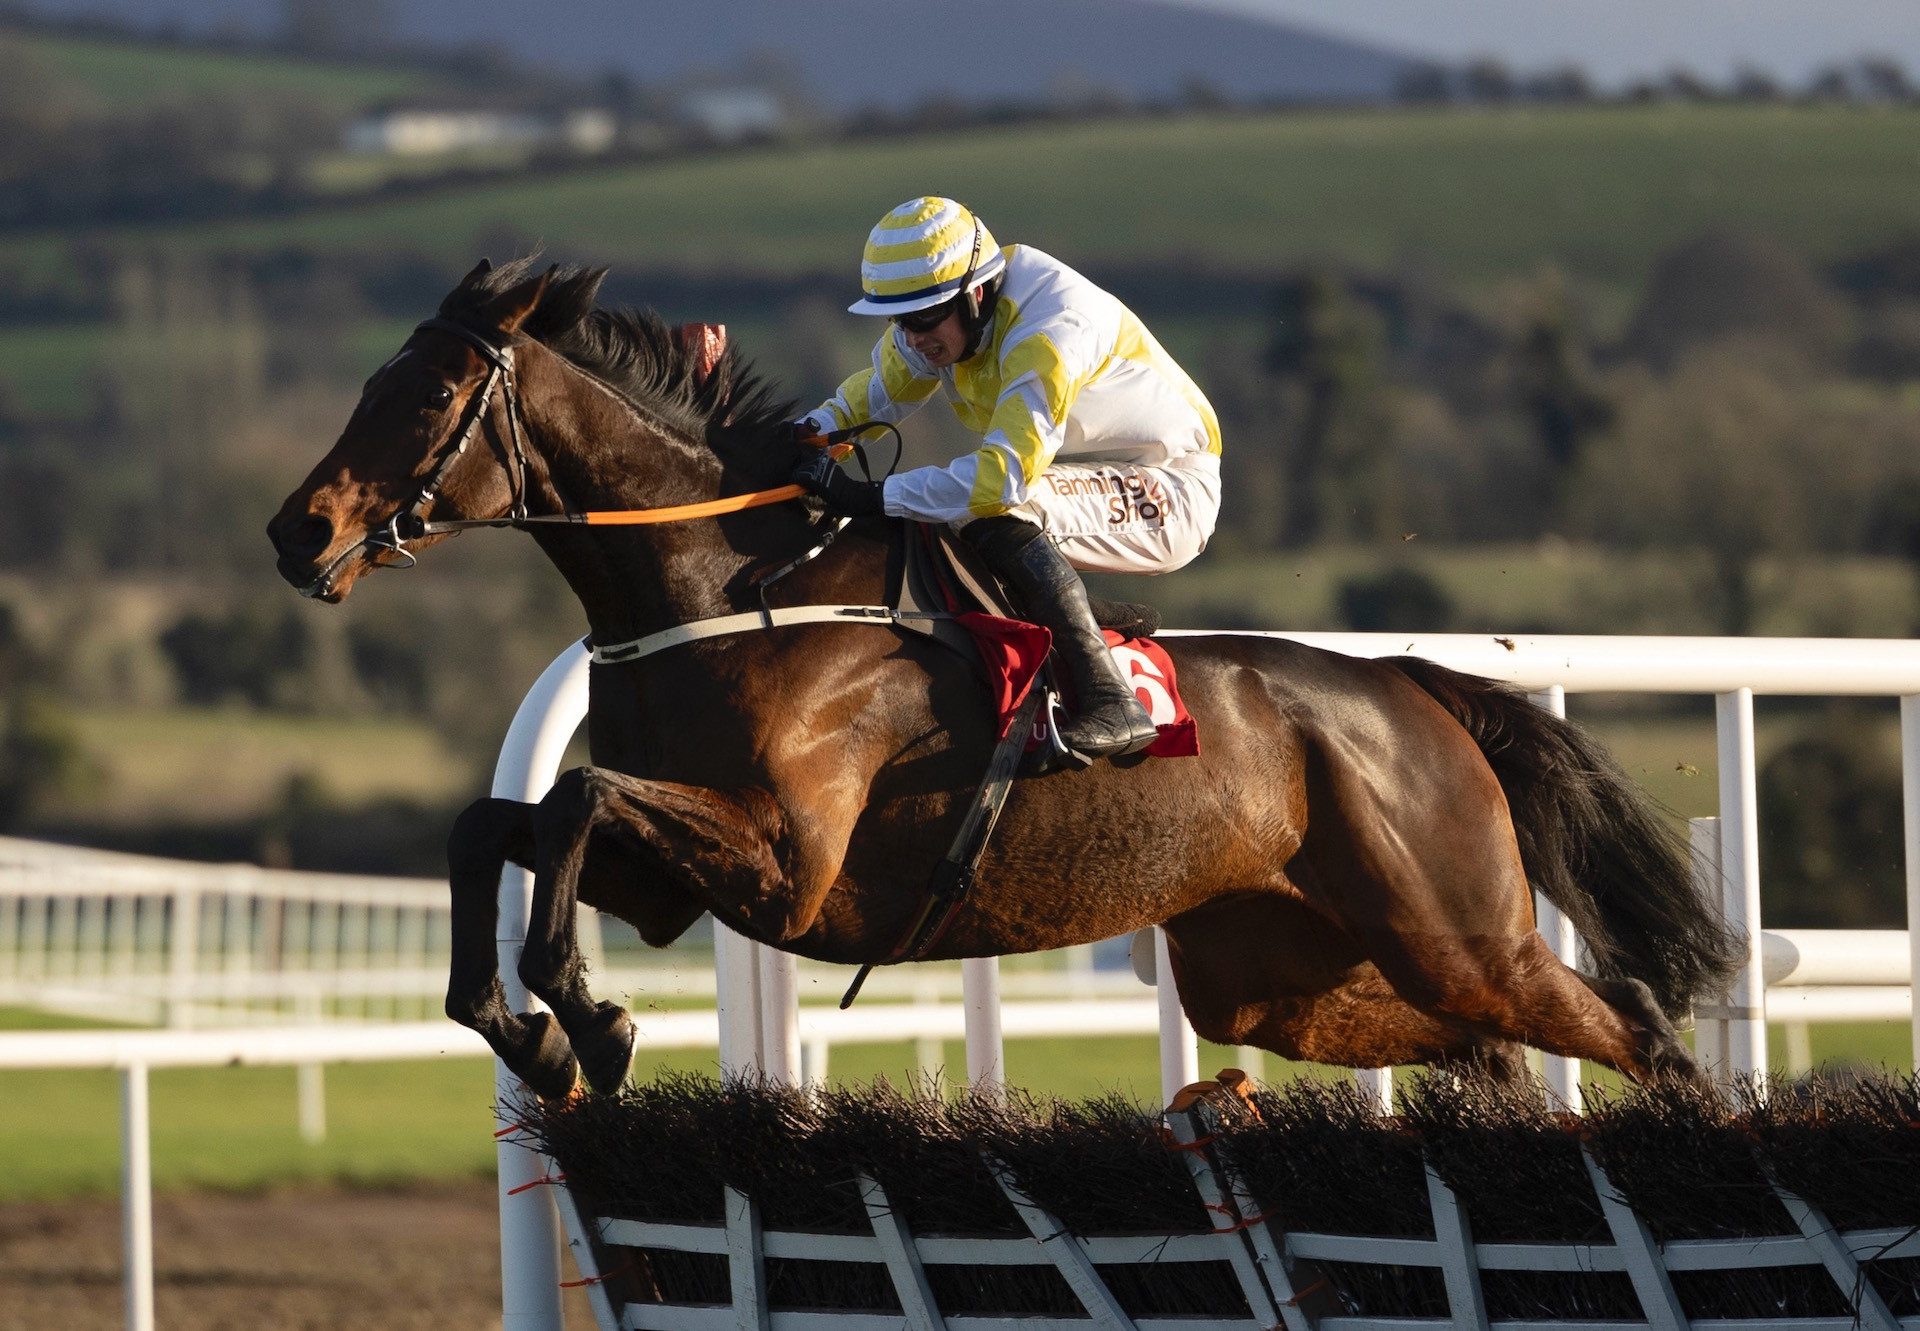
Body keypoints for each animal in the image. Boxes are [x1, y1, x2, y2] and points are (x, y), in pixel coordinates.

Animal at [266, 259, 1743, 1098]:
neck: (728, 592)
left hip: (1464, 932)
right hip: (1283, 972)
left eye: (422, 397)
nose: (296, 528)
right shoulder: (678, 878)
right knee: (1488, 1050)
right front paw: (527, 1029)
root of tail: (1421, 694)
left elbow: (568, 807)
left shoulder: (782, 857)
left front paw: (590, 1018)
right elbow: (497, 825)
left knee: (1633, 1025)